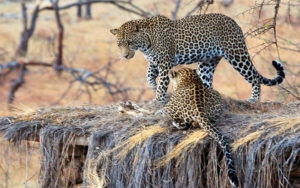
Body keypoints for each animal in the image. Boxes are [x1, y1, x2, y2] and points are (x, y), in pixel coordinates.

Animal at [111, 13, 284, 104]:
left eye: (129, 42)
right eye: (119, 44)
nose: (125, 55)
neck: (146, 42)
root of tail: (234, 23)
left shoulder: (165, 62)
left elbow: (163, 82)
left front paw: (158, 98)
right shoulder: (154, 62)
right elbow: (148, 76)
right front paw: (153, 88)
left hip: (236, 54)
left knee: (254, 76)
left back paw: (254, 99)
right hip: (208, 62)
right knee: (206, 81)